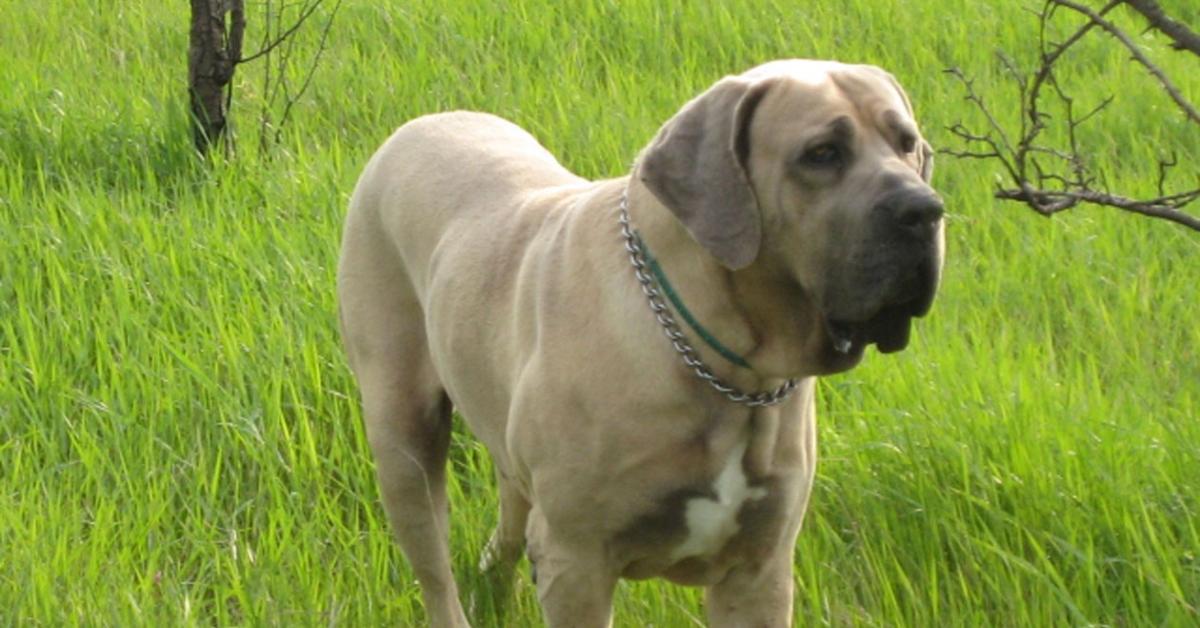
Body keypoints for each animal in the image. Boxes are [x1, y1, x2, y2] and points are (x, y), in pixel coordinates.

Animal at [338, 60, 945, 628]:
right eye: (821, 153)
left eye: (907, 143)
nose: (926, 210)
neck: (723, 366)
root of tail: (413, 129)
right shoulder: (577, 563)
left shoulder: (759, 569)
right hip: (401, 435)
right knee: (434, 568)